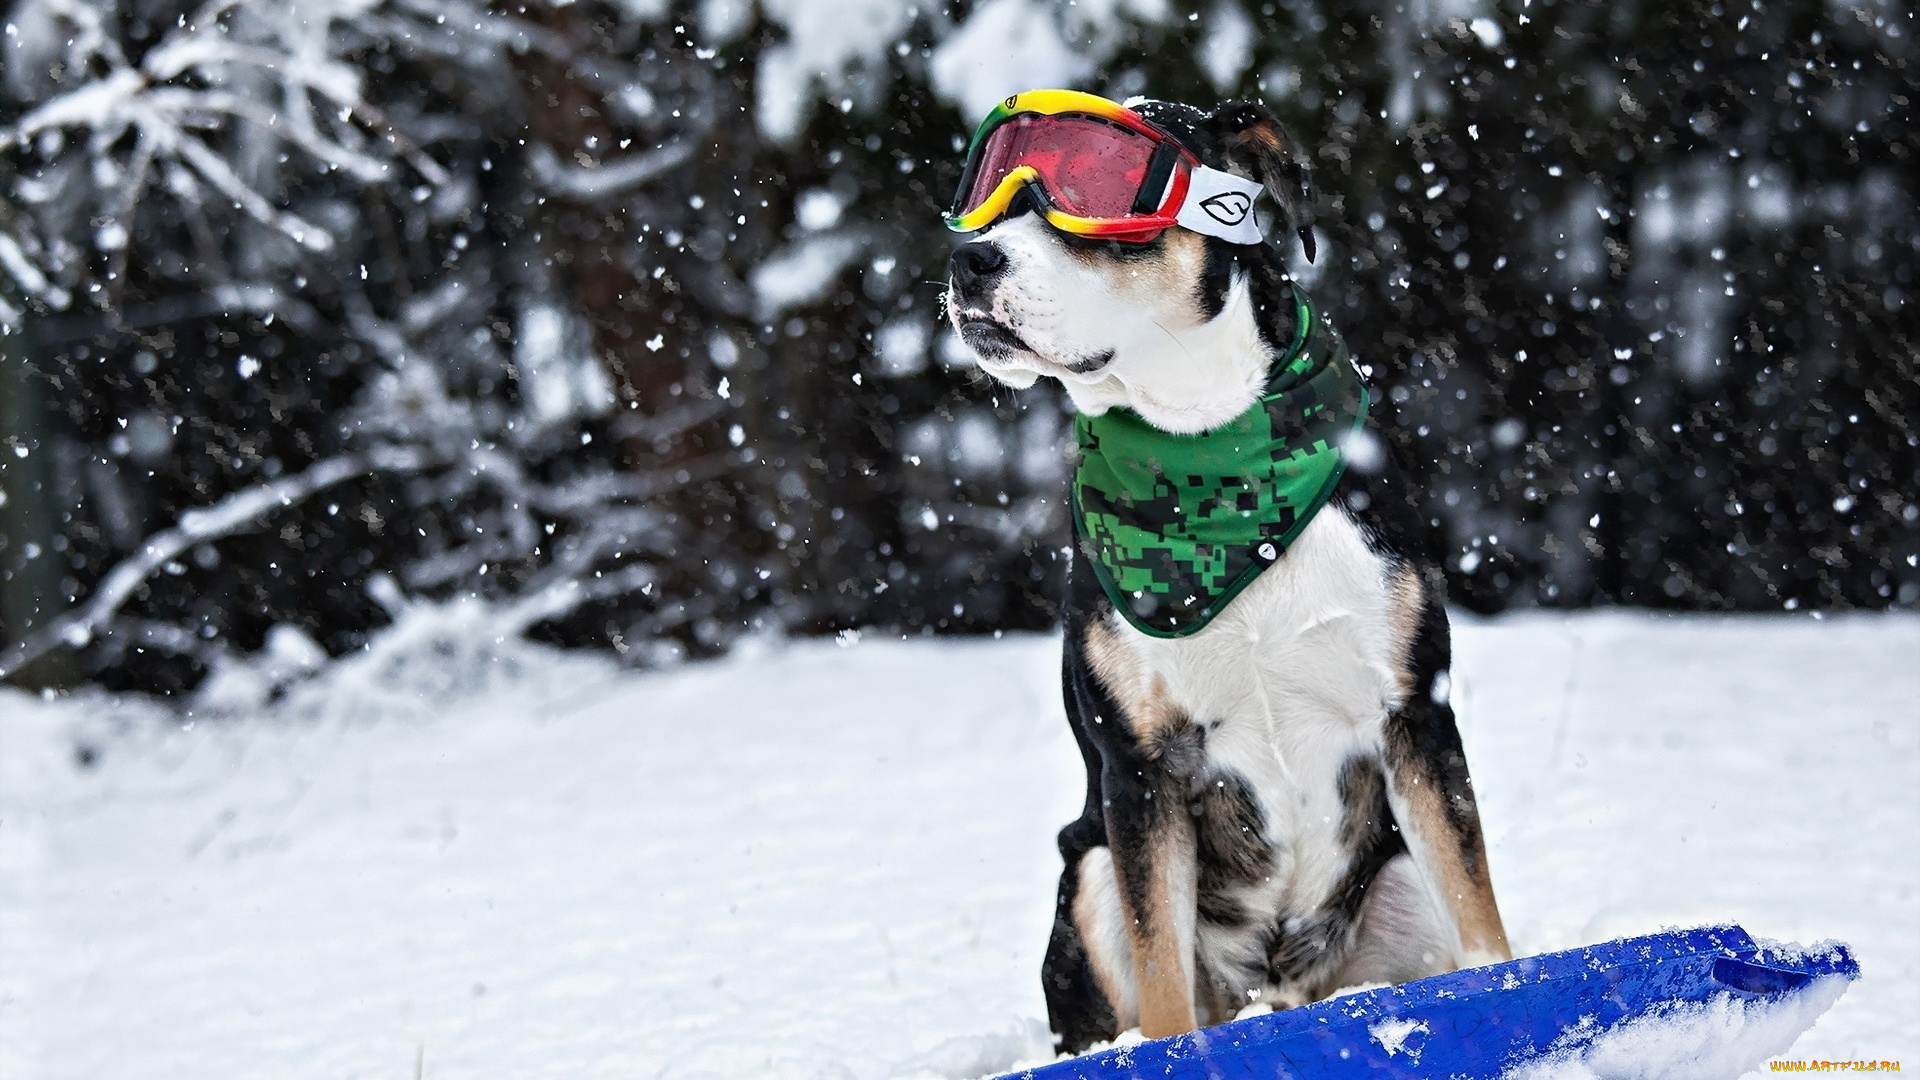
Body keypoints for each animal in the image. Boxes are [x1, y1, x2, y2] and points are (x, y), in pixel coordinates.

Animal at [936, 96, 1505, 1045]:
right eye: (987, 191)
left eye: (1100, 185)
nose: (969, 259)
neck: (1210, 454)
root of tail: (1275, 991)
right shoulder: (1141, 767)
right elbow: (1162, 974)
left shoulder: (1415, 713)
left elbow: (1484, 928)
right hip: (1089, 874)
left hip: (1394, 880)